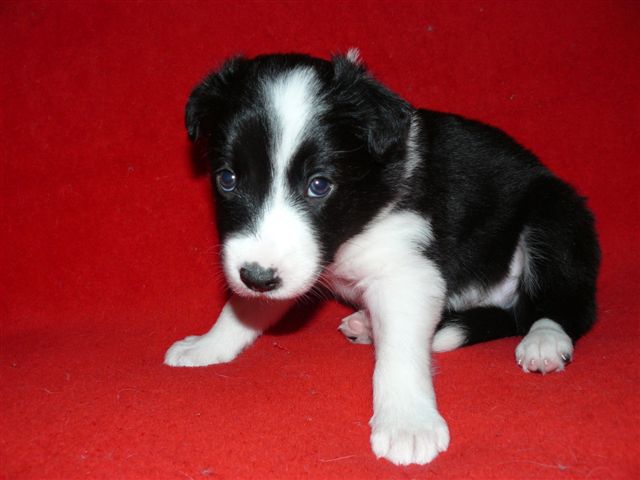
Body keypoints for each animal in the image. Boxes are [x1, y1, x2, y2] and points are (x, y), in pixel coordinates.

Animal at [165, 50, 600, 466]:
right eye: (227, 179)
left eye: (319, 185)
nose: (257, 276)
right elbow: (246, 307)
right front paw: (208, 345)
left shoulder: (408, 274)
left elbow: (400, 355)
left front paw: (408, 424)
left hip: (554, 217)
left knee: (565, 305)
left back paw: (544, 340)